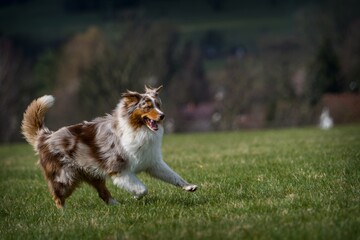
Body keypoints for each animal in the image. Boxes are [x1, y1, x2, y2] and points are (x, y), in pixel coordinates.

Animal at [20, 86, 197, 208]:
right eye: (147, 107)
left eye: (158, 105)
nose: (162, 116)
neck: (137, 129)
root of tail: (45, 136)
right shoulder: (119, 169)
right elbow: (142, 188)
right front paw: (135, 196)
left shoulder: (152, 163)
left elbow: (173, 176)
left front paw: (189, 186)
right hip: (65, 176)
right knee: (58, 196)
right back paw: (63, 212)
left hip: (92, 173)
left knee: (102, 192)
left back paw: (116, 205)